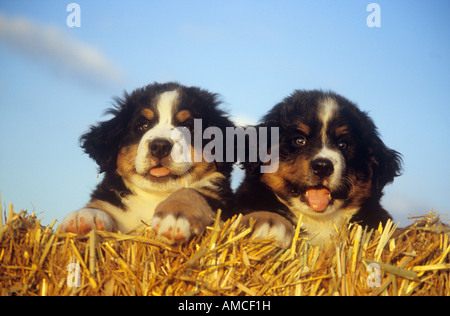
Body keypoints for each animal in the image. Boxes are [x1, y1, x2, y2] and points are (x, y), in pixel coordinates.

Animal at [59, 82, 234, 243]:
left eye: (187, 127)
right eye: (142, 126)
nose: (160, 146)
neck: (155, 196)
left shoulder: (219, 199)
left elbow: (190, 192)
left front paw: (174, 214)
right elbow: (100, 203)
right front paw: (85, 215)